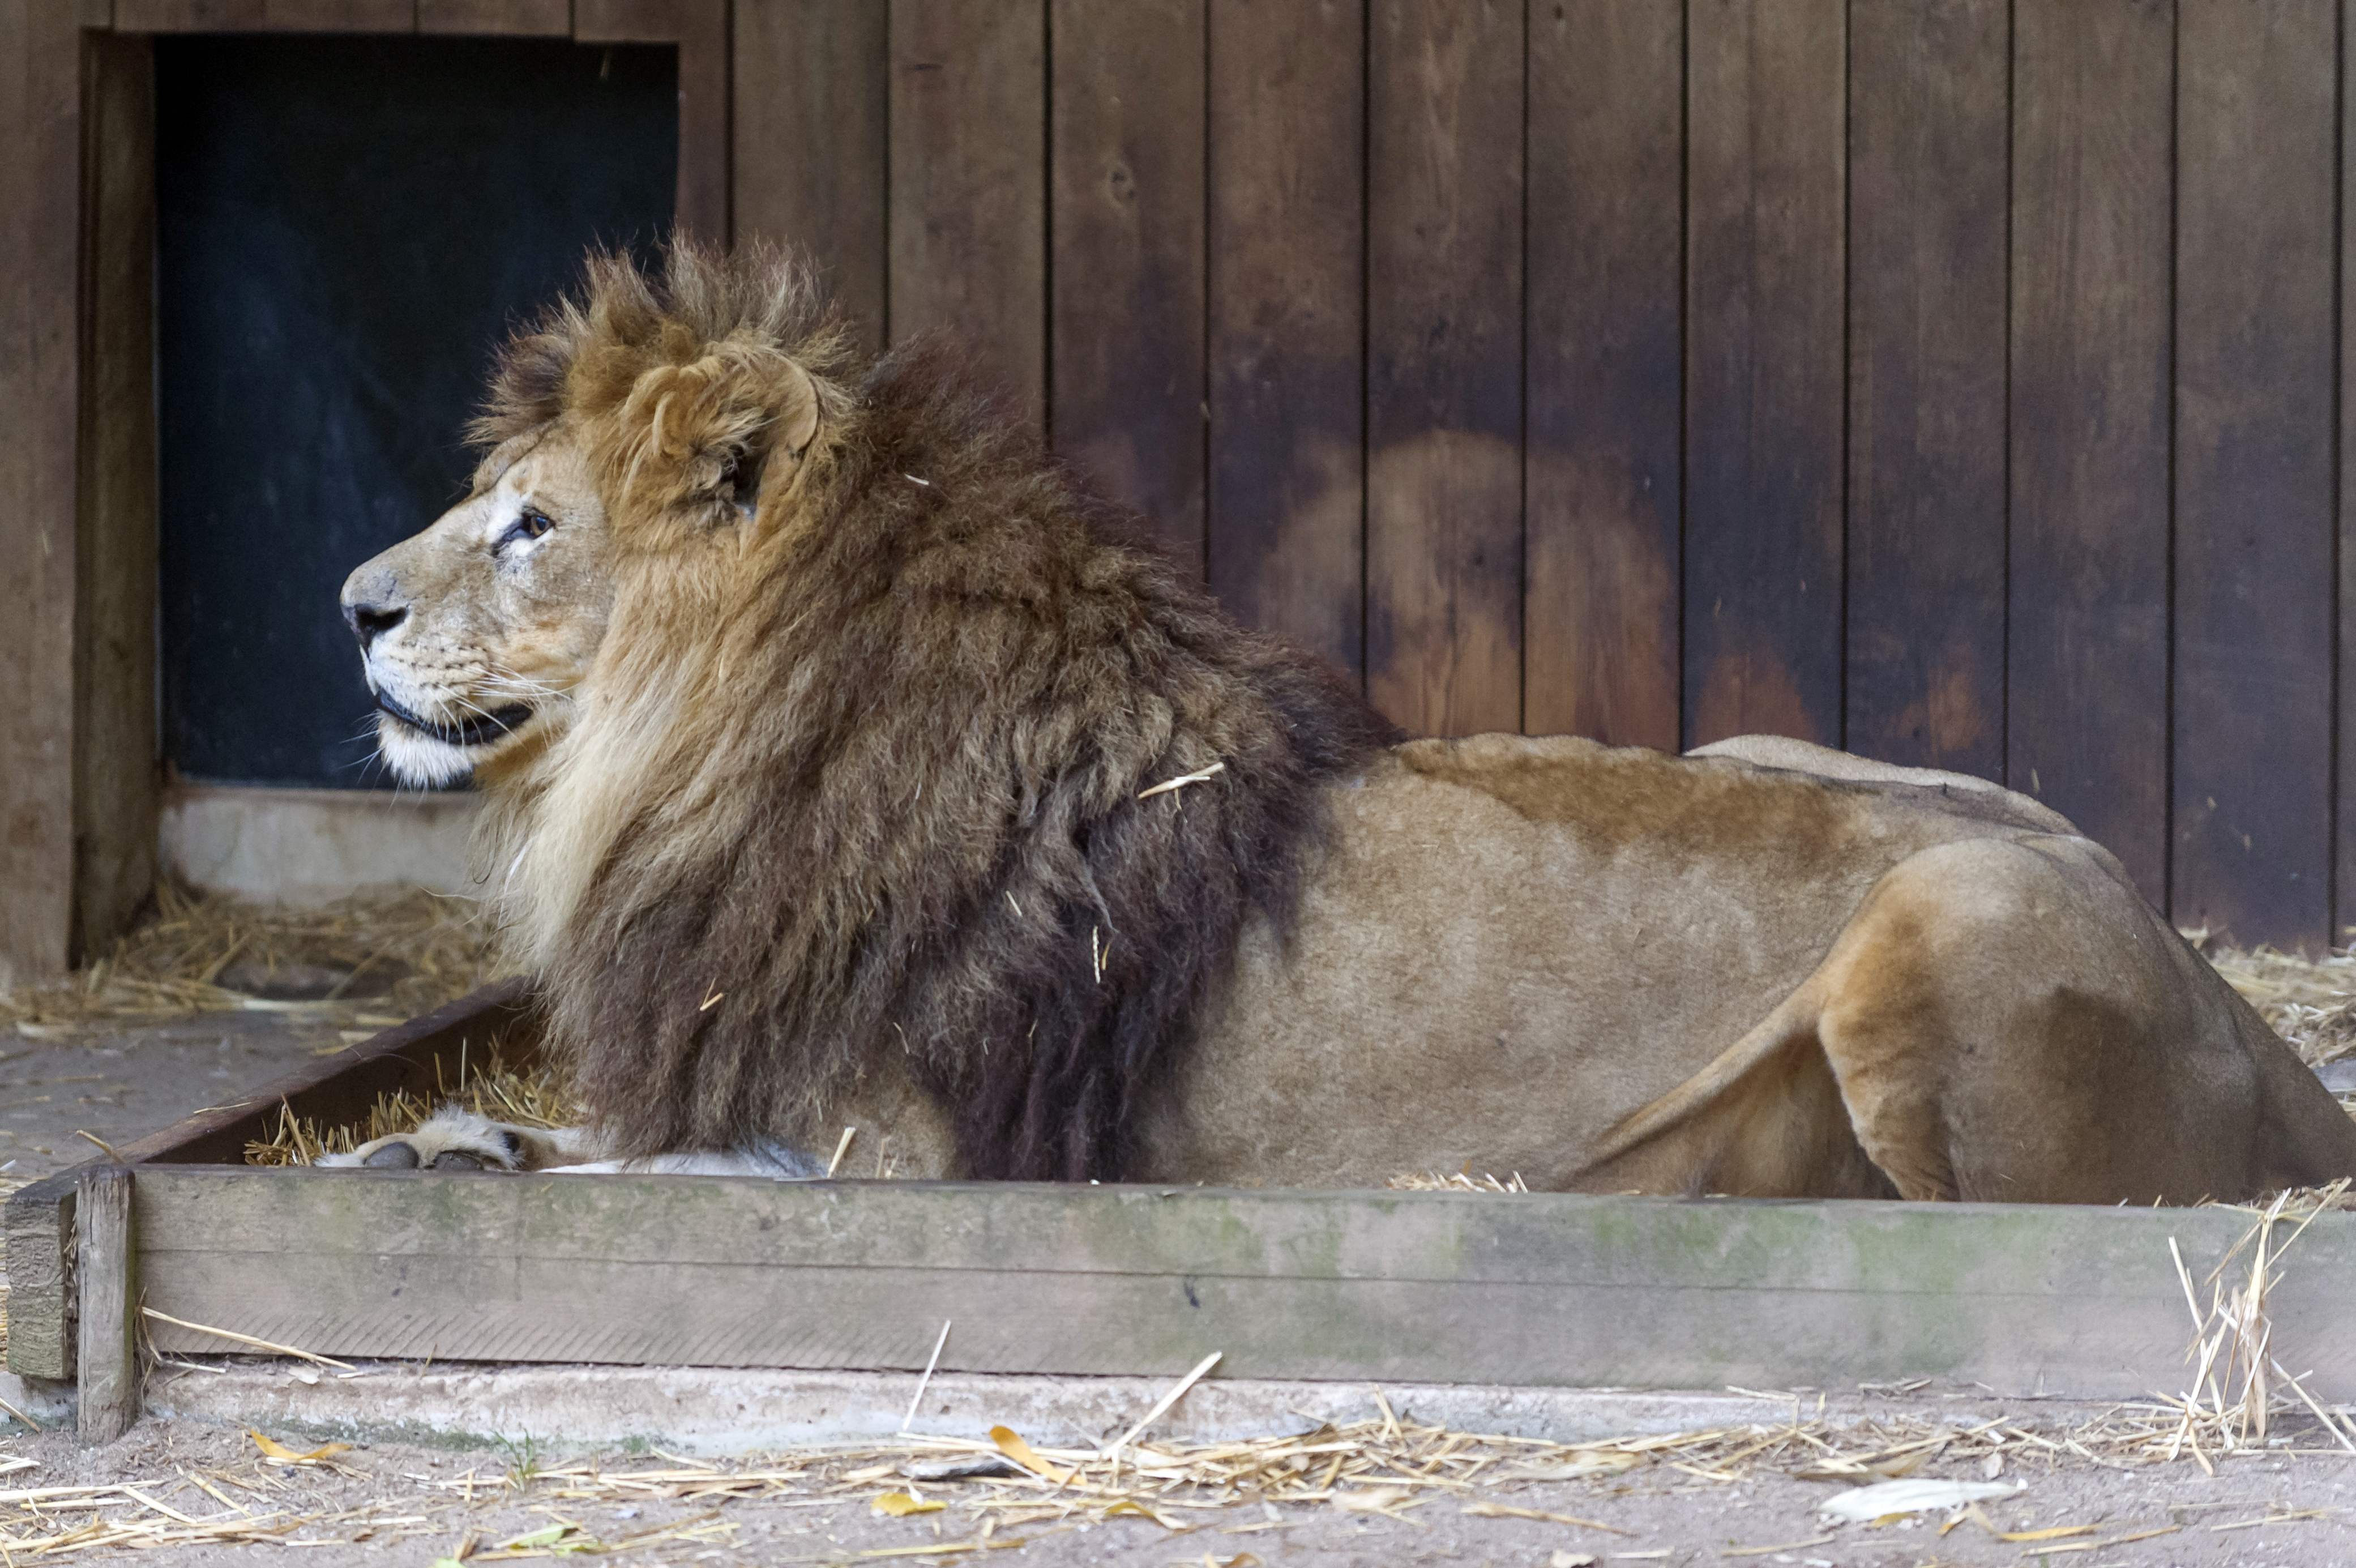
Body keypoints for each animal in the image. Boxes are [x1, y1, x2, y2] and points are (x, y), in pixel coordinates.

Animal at [327, 241, 2356, 1198]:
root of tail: (2260, 1033)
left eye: (528, 525)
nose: (349, 605)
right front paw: (436, 1143)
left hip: (1937, 921)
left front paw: (456, 1154)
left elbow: (661, 1157)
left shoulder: (905, 1150)